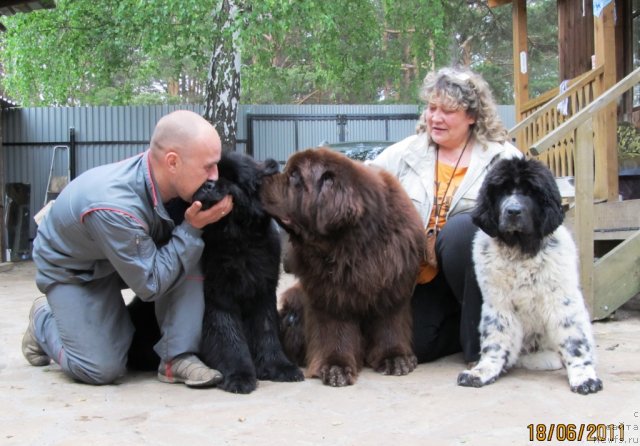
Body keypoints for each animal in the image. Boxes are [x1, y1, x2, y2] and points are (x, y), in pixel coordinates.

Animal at [128, 151, 304, 394]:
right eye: (208, 173)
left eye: (231, 177)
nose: (208, 184)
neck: (235, 239)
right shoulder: (218, 297)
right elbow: (228, 337)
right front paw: (239, 376)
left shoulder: (263, 290)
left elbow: (266, 330)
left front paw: (279, 367)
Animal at [260, 147, 424, 386]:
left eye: (294, 176)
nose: (258, 179)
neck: (352, 244)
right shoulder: (330, 294)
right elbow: (335, 333)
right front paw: (335, 367)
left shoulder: (391, 286)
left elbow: (390, 324)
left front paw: (395, 358)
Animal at [458, 157, 604, 394]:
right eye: (502, 192)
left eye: (530, 193)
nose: (513, 211)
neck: (519, 250)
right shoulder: (498, 305)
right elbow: (495, 339)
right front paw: (482, 371)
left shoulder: (562, 302)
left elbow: (574, 341)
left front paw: (583, 376)